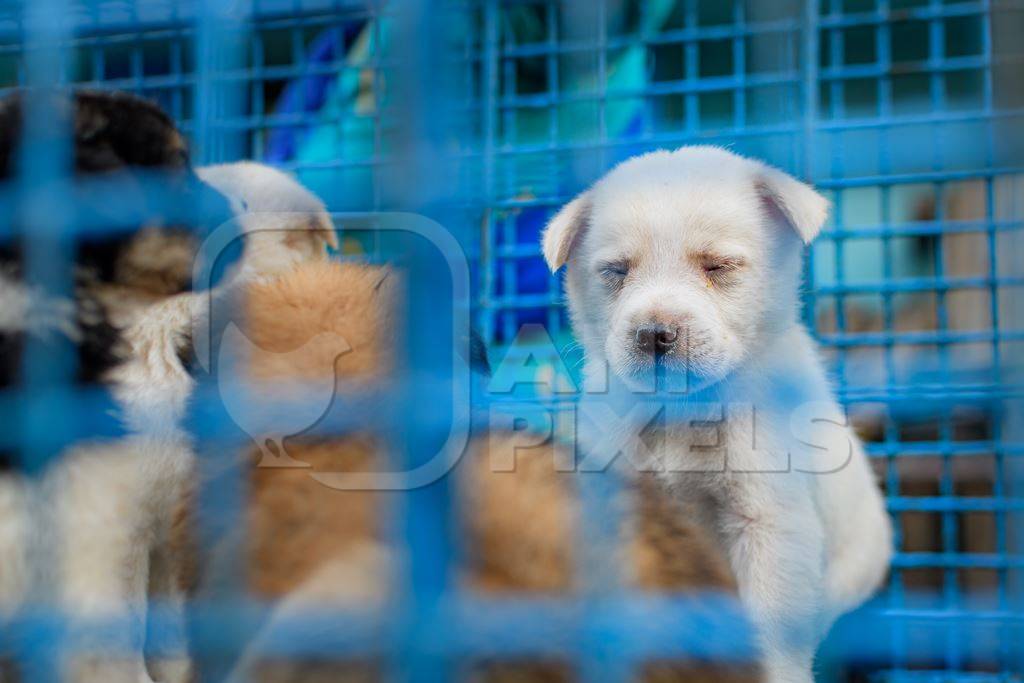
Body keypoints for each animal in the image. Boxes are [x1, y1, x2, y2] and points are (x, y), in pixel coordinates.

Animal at [544, 148, 888, 683]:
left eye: (718, 266)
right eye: (617, 271)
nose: (654, 334)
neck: (682, 413)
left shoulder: (769, 524)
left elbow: (771, 635)